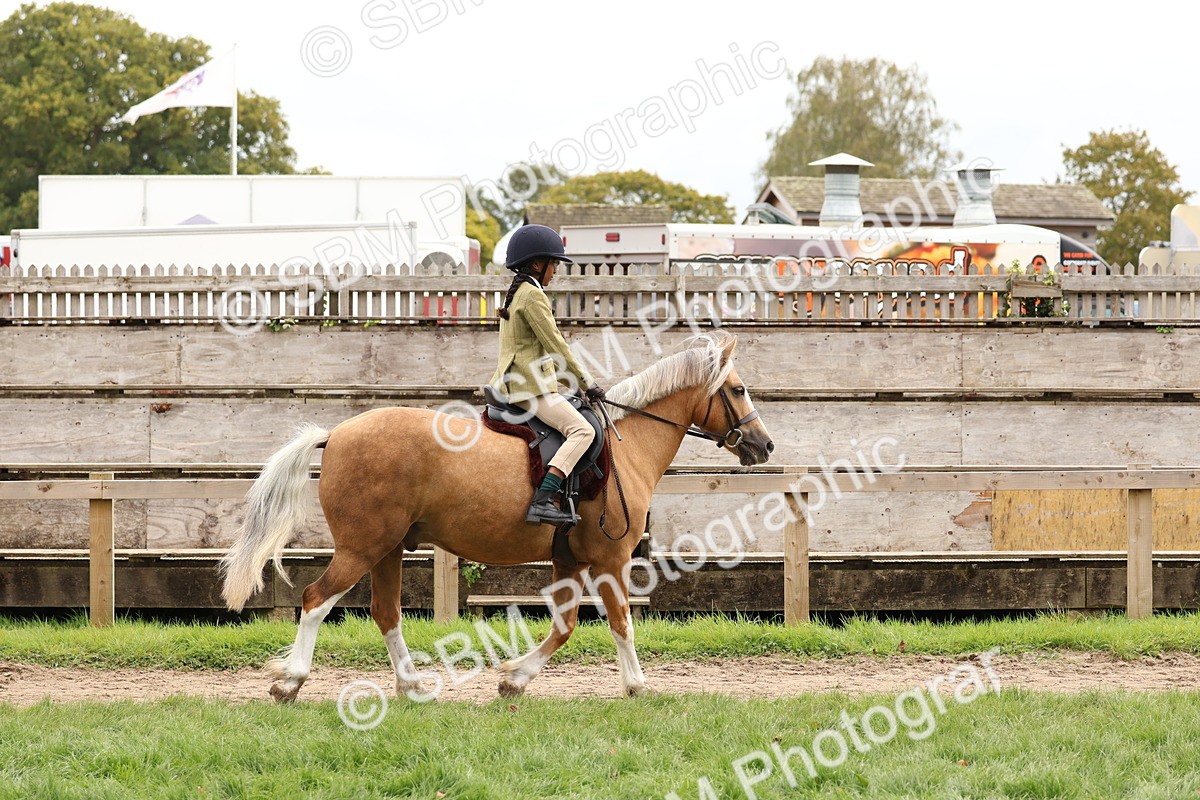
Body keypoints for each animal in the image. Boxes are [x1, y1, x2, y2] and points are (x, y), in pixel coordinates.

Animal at [219, 332, 773, 701]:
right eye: (739, 389)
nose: (764, 445)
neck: (626, 442)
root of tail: (336, 434)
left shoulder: (569, 560)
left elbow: (565, 625)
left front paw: (514, 680)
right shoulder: (610, 559)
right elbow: (620, 623)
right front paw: (636, 686)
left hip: (389, 549)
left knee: (386, 612)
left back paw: (413, 686)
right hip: (362, 547)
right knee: (316, 600)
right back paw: (291, 682)